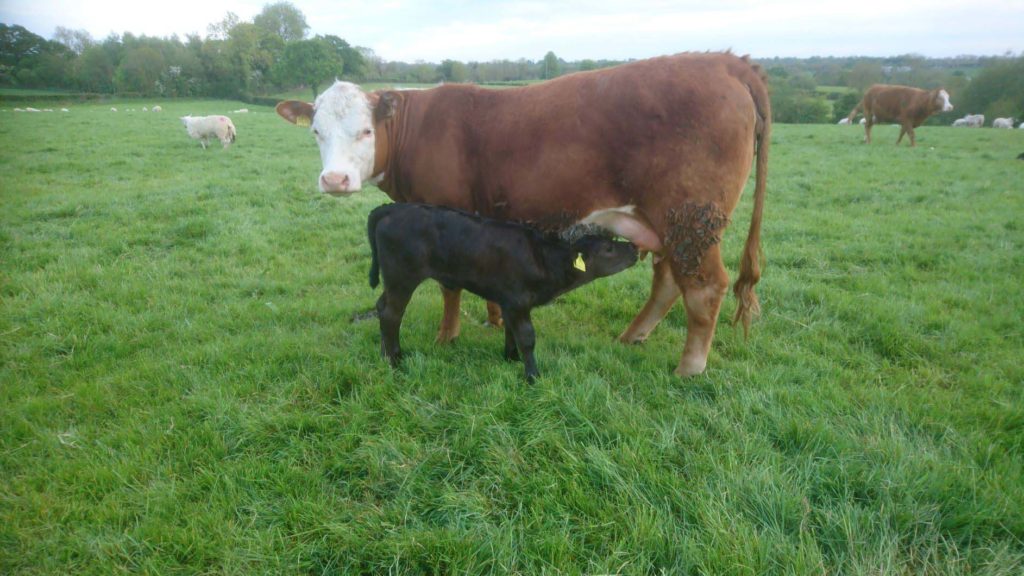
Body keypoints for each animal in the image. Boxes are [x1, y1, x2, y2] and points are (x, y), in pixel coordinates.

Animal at [368, 202, 638, 381]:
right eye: (608, 249)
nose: (635, 247)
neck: (543, 259)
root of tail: (390, 208)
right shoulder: (518, 301)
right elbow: (527, 337)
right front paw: (532, 375)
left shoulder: (509, 302)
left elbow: (511, 331)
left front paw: (511, 357)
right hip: (402, 277)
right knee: (392, 314)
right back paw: (395, 359)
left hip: (393, 280)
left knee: (381, 306)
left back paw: (383, 354)